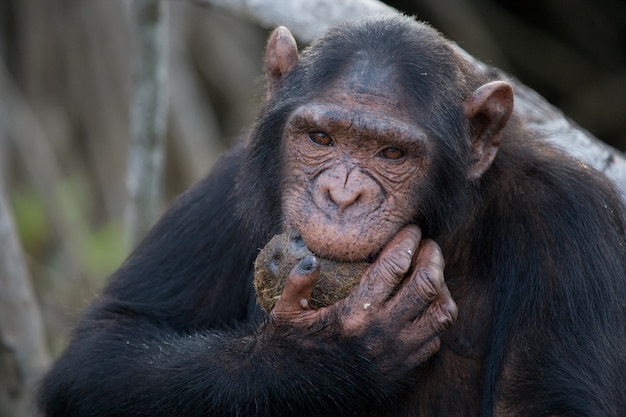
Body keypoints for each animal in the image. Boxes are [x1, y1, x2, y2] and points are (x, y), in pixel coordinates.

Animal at [39, 13, 624, 416]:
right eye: (320, 138)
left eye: (392, 154)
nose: (342, 196)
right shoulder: (227, 182)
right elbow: (105, 346)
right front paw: (328, 354)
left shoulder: (574, 223)